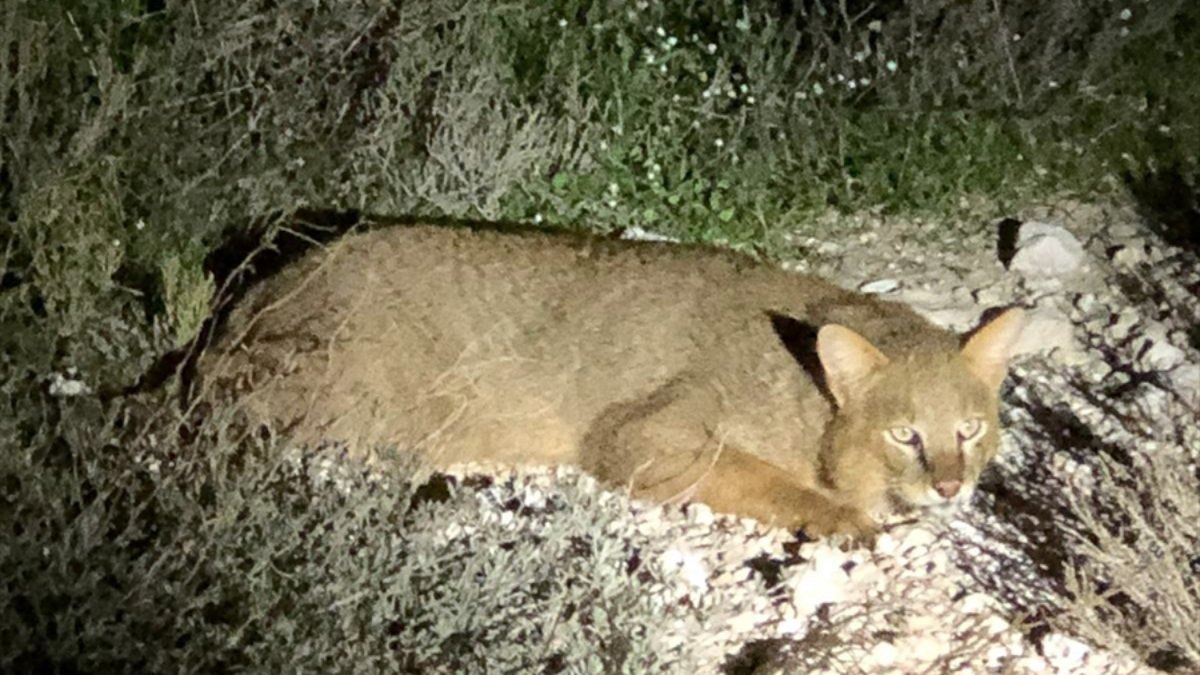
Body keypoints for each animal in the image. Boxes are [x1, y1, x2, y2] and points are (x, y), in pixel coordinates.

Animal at [196, 223, 1022, 538]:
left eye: (970, 429)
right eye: (904, 433)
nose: (952, 485)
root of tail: (252, 293)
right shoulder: (643, 435)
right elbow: (760, 476)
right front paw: (843, 515)